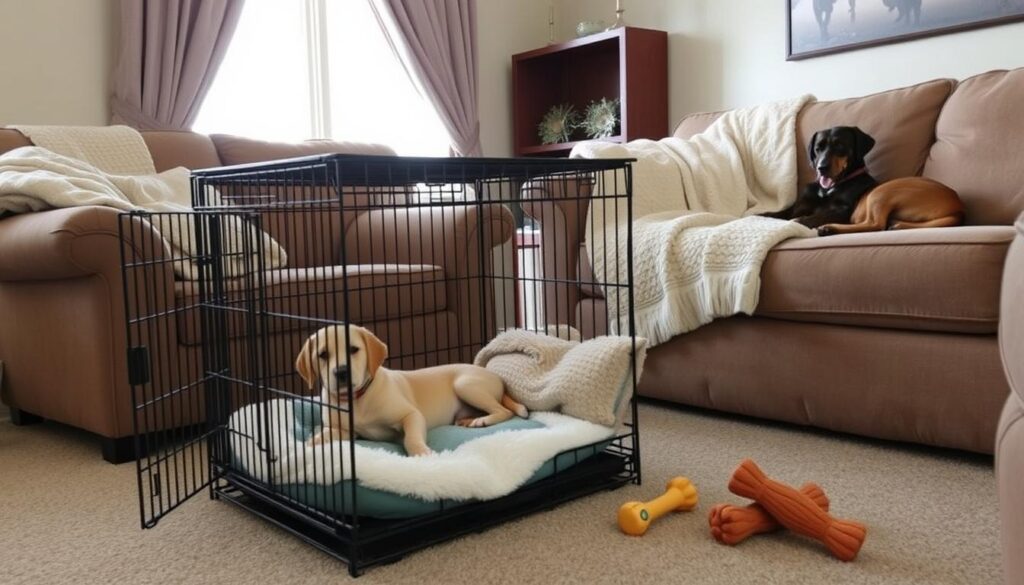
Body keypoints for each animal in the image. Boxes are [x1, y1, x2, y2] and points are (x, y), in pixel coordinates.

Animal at [292, 325, 524, 456]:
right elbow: (321, 437)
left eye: (353, 349)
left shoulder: (411, 415)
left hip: (465, 385)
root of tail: (495, 376)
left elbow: (410, 438)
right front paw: (307, 446)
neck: (356, 399)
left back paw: (481, 421)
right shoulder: (342, 431)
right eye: (323, 354)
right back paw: (468, 420)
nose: (340, 371)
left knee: (504, 411)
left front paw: (421, 453)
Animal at [765, 127, 962, 236]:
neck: (830, 188)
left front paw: (800, 221)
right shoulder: (798, 206)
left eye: (840, 146)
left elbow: (810, 217)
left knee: (875, 225)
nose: (821, 167)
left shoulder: (843, 210)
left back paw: (829, 228)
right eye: (817, 148)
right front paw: (766, 214)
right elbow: (780, 212)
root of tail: (957, 206)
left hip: (882, 192)